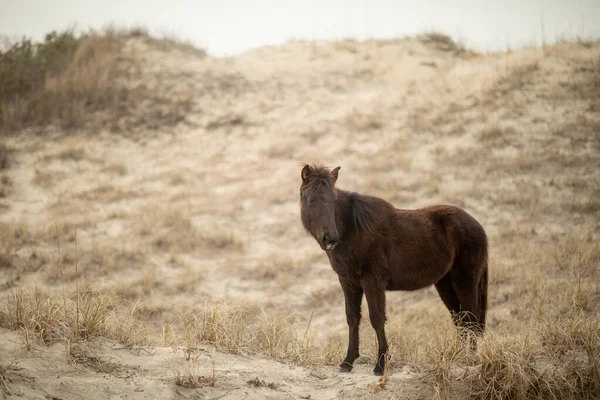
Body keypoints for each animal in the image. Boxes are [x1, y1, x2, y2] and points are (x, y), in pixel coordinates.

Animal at [300, 163, 488, 376]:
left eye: (334, 200)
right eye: (311, 199)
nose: (330, 239)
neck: (353, 230)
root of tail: (477, 225)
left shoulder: (373, 282)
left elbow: (377, 319)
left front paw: (381, 365)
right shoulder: (348, 282)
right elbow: (352, 318)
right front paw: (347, 362)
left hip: (465, 281)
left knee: (471, 319)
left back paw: (469, 360)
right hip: (445, 284)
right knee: (460, 319)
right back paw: (456, 357)